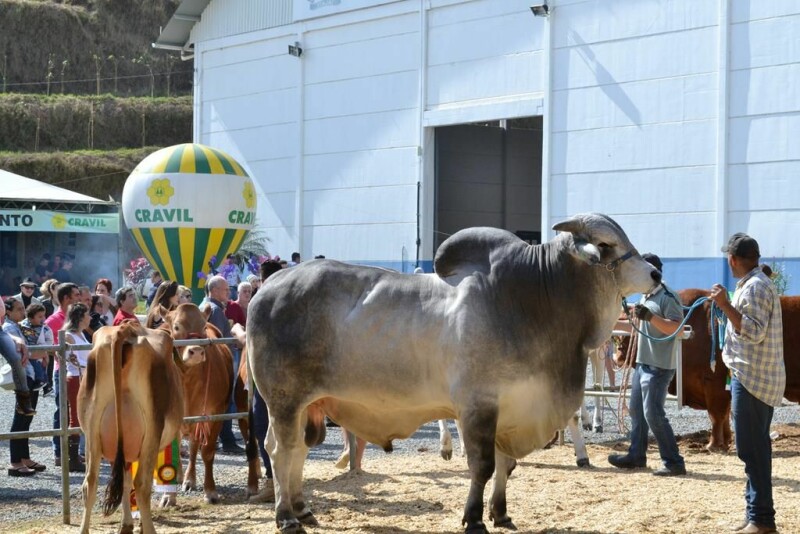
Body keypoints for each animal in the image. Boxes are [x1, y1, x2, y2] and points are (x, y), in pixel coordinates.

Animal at [77, 322, 184, 534]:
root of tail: (126, 330)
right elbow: (138, 482)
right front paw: (137, 524)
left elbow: (125, 482)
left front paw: (126, 524)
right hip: (152, 429)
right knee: (142, 484)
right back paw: (150, 529)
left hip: (92, 431)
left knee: (90, 483)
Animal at [247, 214, 660, 534]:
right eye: (606, 244)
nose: (656, 273)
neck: (533, 300)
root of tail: (268, 288)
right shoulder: (479, 405)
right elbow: (483, 466)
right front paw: (474, 519)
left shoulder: (510, 408)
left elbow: (506, 465)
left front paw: (501, 514)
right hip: (283, 400)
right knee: (281, 450)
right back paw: (285, 517)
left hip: (308, 404)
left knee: (297, 451)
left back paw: (302, 509)